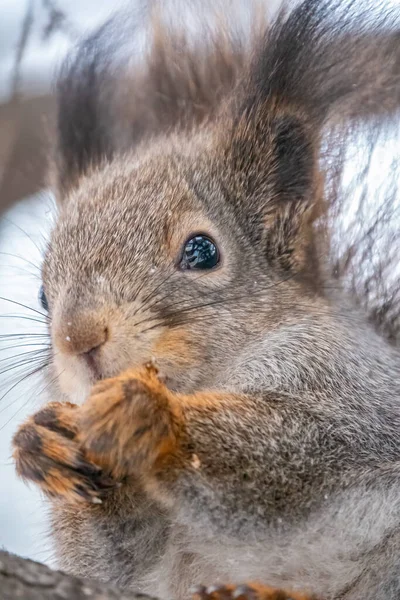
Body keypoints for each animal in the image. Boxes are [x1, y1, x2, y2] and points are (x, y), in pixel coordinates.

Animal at [10, 0, 400, 596]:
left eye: (202, 251)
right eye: (42, 293)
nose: (79, 336)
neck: (215, 375)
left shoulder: (361, 400)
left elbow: (301, 449)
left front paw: (151, 414)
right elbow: (116, 557)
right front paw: (42, 443)